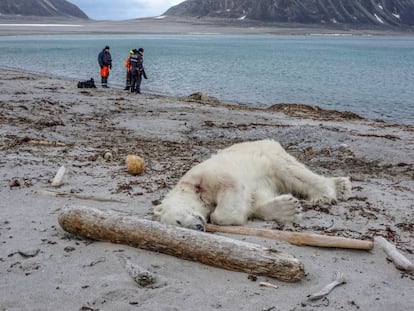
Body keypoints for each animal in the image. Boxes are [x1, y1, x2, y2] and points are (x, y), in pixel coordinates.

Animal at [154, 140, 350, 232]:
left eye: (178, 221)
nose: (198, 227)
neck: (193, 188)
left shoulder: (208, 175)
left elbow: (230, 192)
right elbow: (257, 199)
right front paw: (288, 208)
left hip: (268, 154)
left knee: (292, 171)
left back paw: (330, 191)